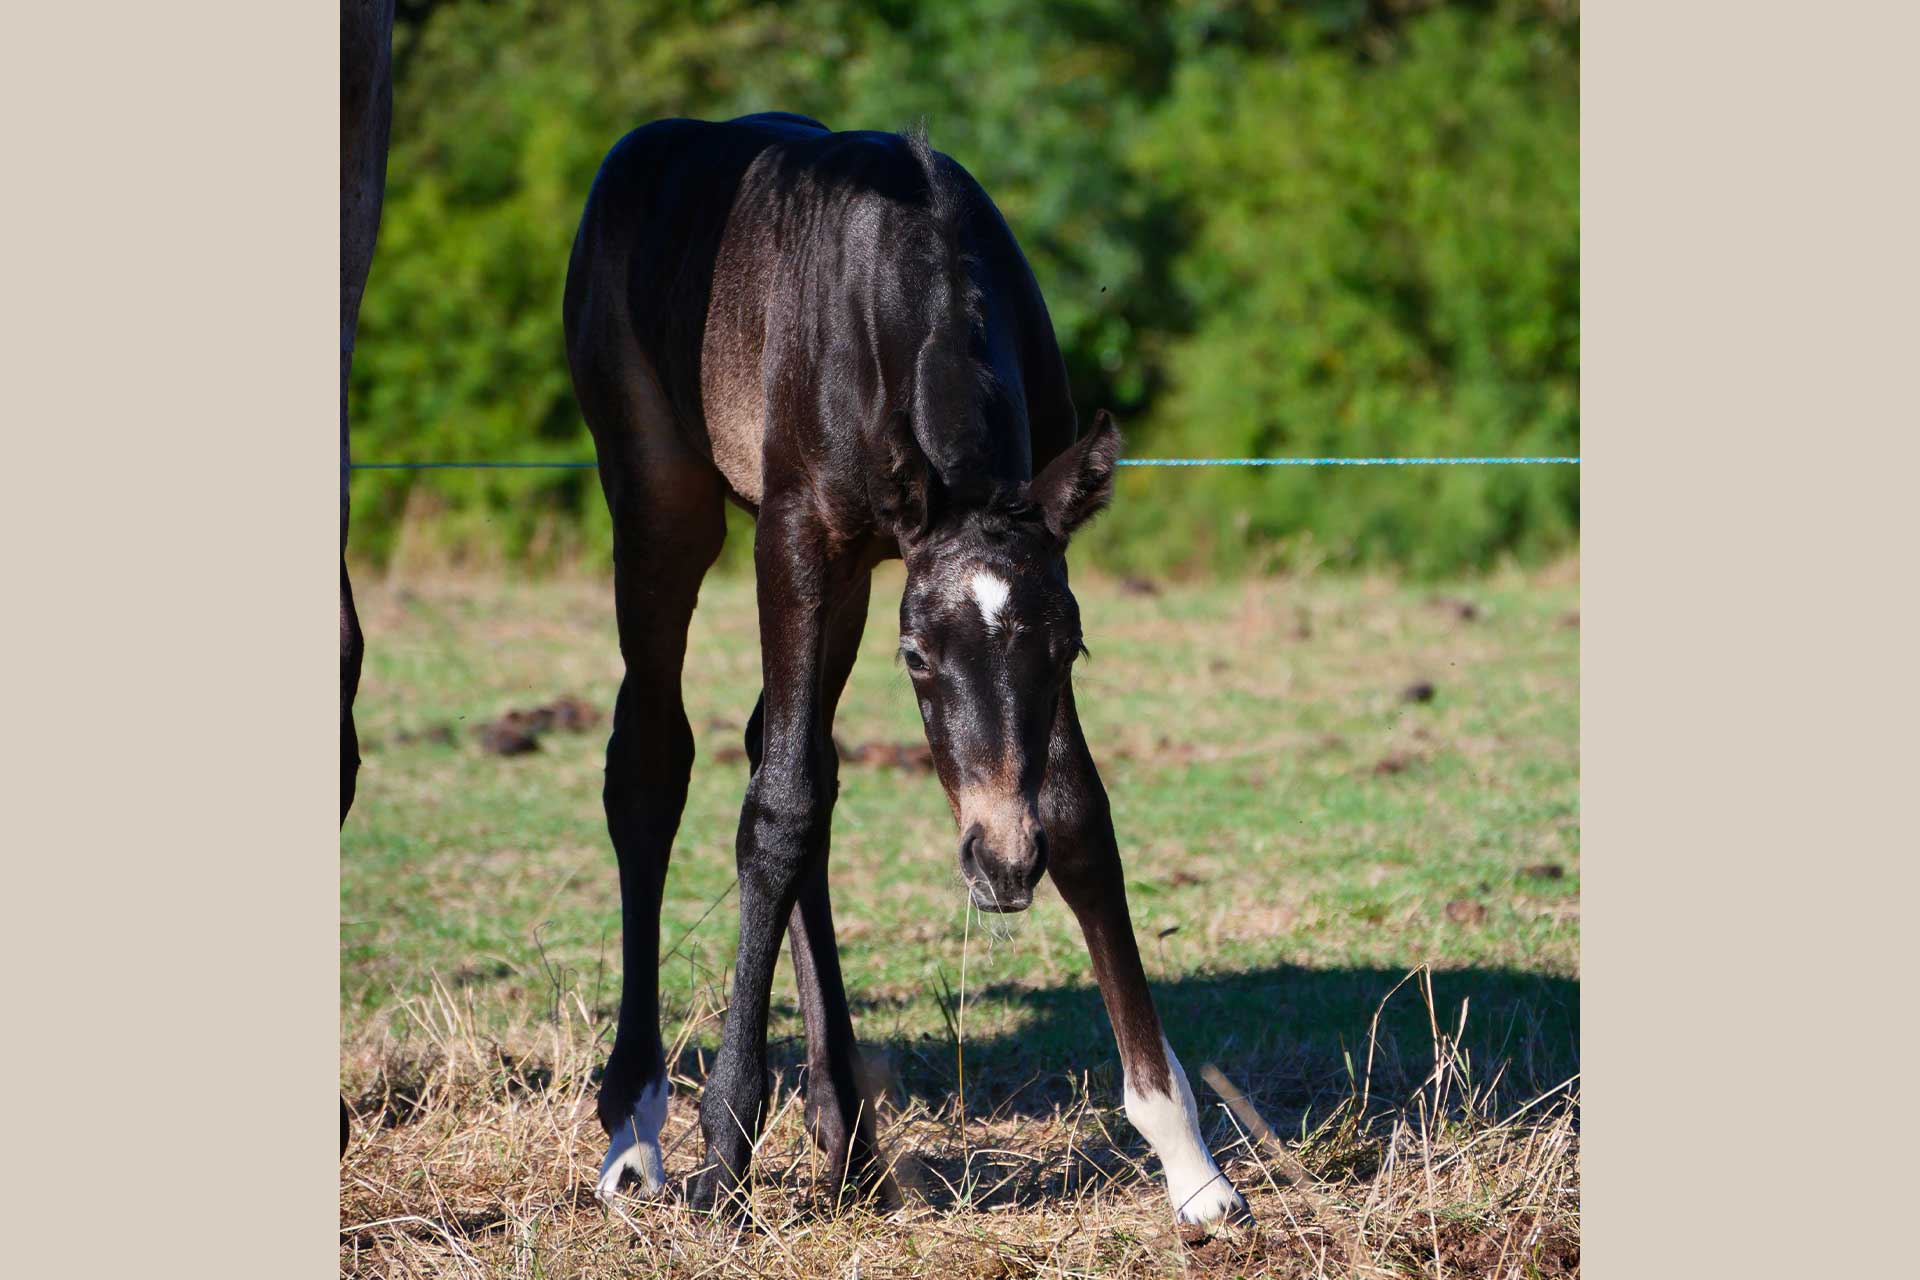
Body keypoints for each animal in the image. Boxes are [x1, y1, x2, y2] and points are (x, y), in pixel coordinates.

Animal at [560, 115, 1244, 1228]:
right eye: (918, 656)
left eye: (1069, 646)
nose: (1002, 864)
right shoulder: (797, 538)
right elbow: (779, 807)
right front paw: (724, 1153)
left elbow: (1076, 813)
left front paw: (1191, 1161)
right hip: (663, 499)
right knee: (656, 762)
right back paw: (639, 1132)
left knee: (778, 750)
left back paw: (848, 1138)